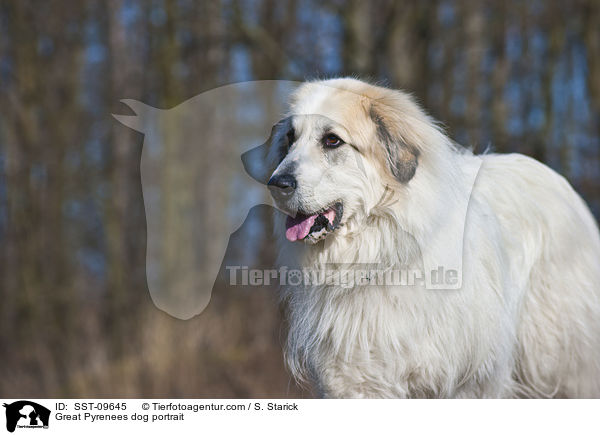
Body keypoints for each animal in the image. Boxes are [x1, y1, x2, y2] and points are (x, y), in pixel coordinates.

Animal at [264, 77, 600, 398]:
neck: (378, 253)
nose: (276, 183)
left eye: (332, 140)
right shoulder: (355, 380)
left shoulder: (465, 384)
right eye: (290, 138)